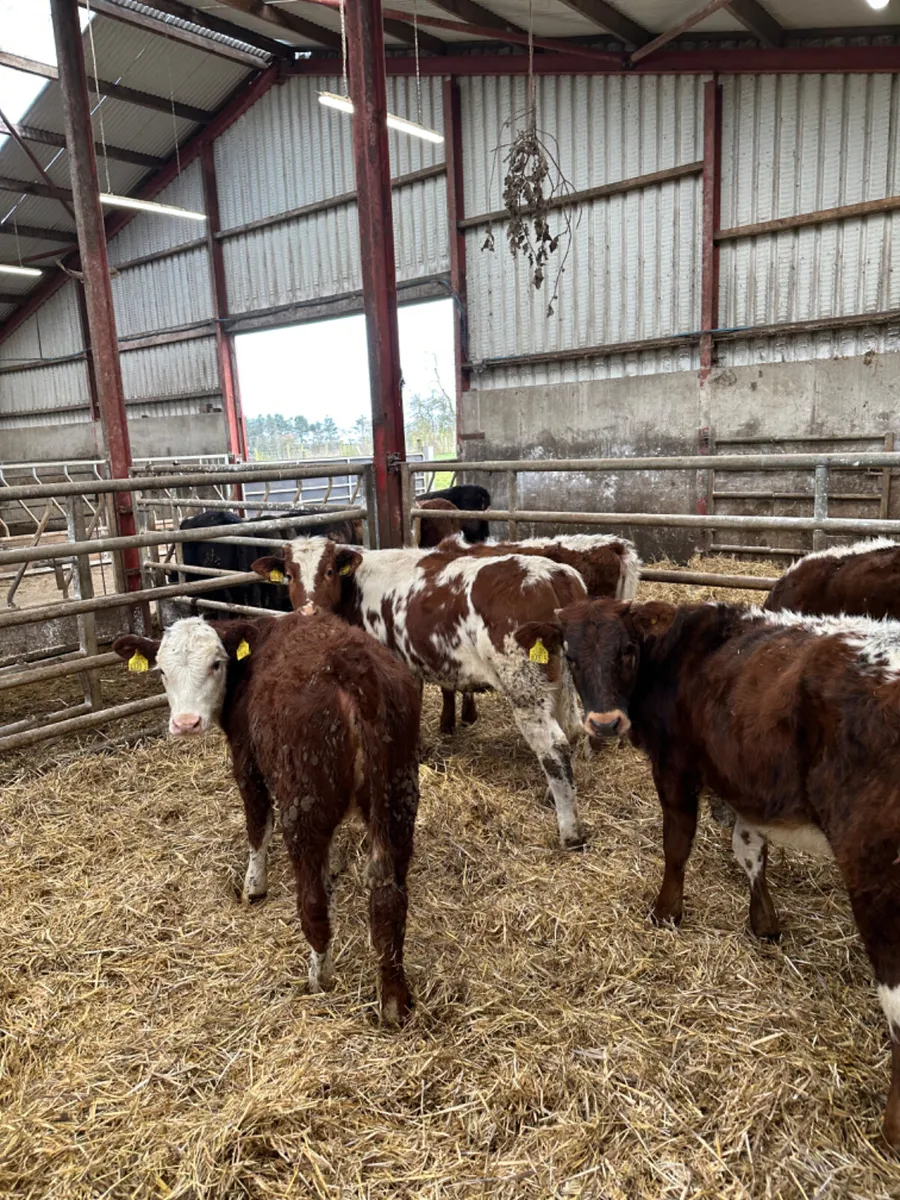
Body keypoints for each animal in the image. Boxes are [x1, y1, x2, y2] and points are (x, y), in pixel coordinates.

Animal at [111, 612, 421, 1025]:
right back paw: (394, 1001)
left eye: (216, 664)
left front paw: (253, 886)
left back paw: (319, 977)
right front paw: (334, 864)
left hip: (302, 805)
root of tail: (353, 667)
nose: (186, 723)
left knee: (313, 903)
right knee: (389, 902)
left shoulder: (246, 760)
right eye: (161, 670)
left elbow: (258, 825)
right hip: (397, 800)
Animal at [251, 537, 589, 848]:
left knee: (554, 747)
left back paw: (569, 831)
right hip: (562, 682)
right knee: (572, 730)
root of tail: (553, 573)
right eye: (290, 574)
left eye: (330, 570)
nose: (309, 612)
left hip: (524, 686)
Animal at [553, 595, 900, 1146]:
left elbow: (677, 843)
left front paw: (666, 912)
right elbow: (750, 849)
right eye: (570, 655)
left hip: (877, 873)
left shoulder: (675, 765)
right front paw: (764, 923)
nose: (604, 724)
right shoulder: (746, 780)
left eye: (626, 648)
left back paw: (892, 1127)